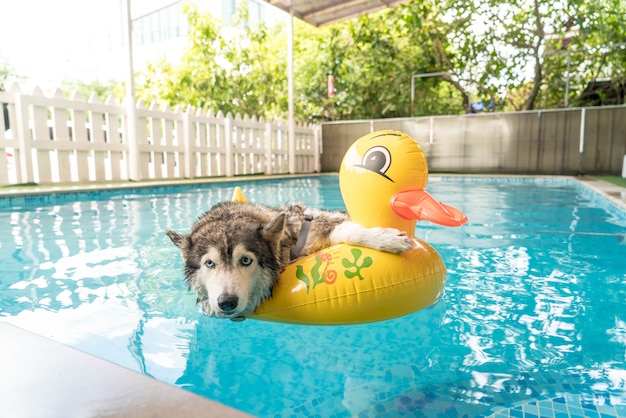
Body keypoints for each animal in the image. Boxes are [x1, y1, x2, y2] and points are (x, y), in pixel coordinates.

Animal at [166, 201, 410, 318]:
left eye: (245, 261)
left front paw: (387, 238)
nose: (227, 303)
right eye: (209, 263)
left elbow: (347, 231)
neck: (288, 244)